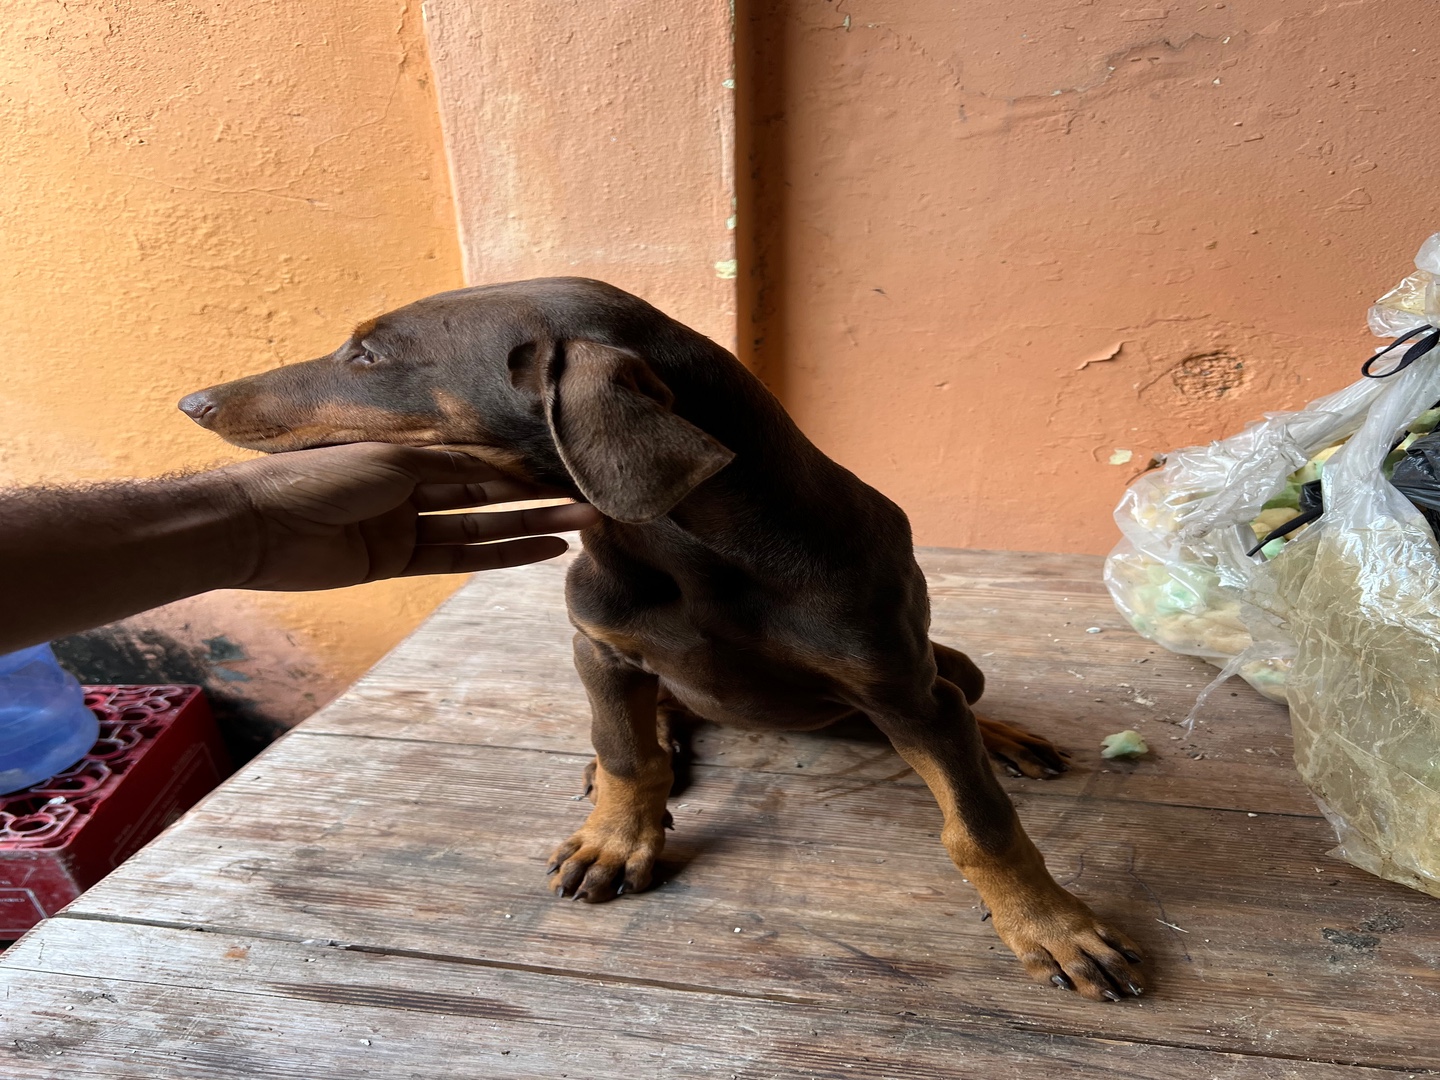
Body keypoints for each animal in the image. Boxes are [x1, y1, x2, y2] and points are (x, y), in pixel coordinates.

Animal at [180, 279, 1146, 1008]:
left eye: (369, 356)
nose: (191, 401)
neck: (690, 552)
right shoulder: (598, 647)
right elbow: (624, 752)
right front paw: (616, 836)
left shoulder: (899, 687)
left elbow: (978, 824)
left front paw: (1050, 926)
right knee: (655, 721)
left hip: (939, 675)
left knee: (962, 700)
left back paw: (1003, 737)